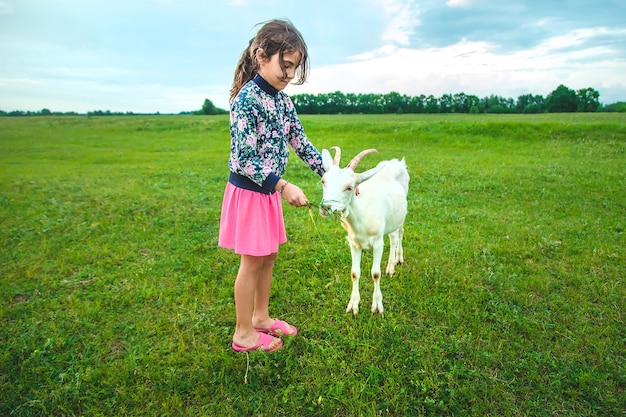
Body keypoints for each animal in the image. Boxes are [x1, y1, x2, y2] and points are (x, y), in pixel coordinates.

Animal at [316, 148, 410, 314]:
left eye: (350, 187)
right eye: (323, 181)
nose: (325, 207)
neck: (362, 216)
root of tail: (397, 162)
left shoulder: (378, 242)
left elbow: (376, 274)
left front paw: (377, 306)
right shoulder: (354, 243)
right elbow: (354, 273)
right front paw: (353, 305)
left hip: (401, 214)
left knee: (398, 234)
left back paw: (394, 263)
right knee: (393, 236)